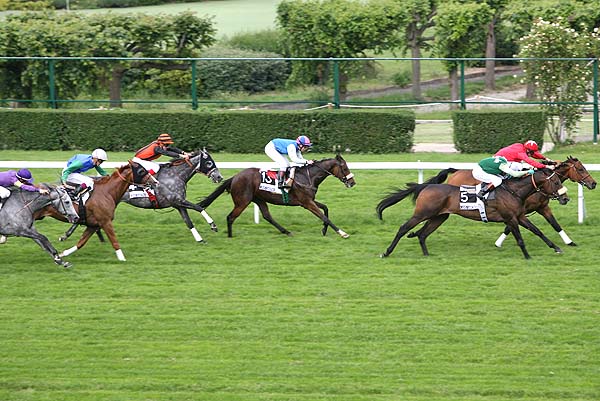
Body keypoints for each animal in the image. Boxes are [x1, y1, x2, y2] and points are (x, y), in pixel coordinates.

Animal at [197, 155, 356, 238]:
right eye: (344, 167)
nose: (352, 182)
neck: (307, 177)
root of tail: (235, 177)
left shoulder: (309, 200)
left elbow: (326, 209)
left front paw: (324, 230)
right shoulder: (306, 203)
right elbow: (323, 216)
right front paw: (342, 233)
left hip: (259, 199)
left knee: (267, 216)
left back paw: (286, 231)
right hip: (242, 201)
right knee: (230, 217)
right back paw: (230, 236)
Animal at [378, 167, 568, 258]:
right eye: (556, 182)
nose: (565, 198)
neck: (514, 191)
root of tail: (425, 186)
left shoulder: (520, 216)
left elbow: (538, 231)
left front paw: (556, 248)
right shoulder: (511, 218)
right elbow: (520, 239)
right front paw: (527, 256)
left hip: (439, 217)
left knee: (423, 234)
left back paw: (426, 254)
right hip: (422, 214)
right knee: (403, 228)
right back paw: (386, 252)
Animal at [418, 157, 596, 247]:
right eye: (581, 169)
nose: (593, 183)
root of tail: (455, 172)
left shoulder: (542, 207)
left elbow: (555, 224)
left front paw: (570, 242)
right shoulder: (518, 210)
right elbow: (509, 227)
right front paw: (499, 242)